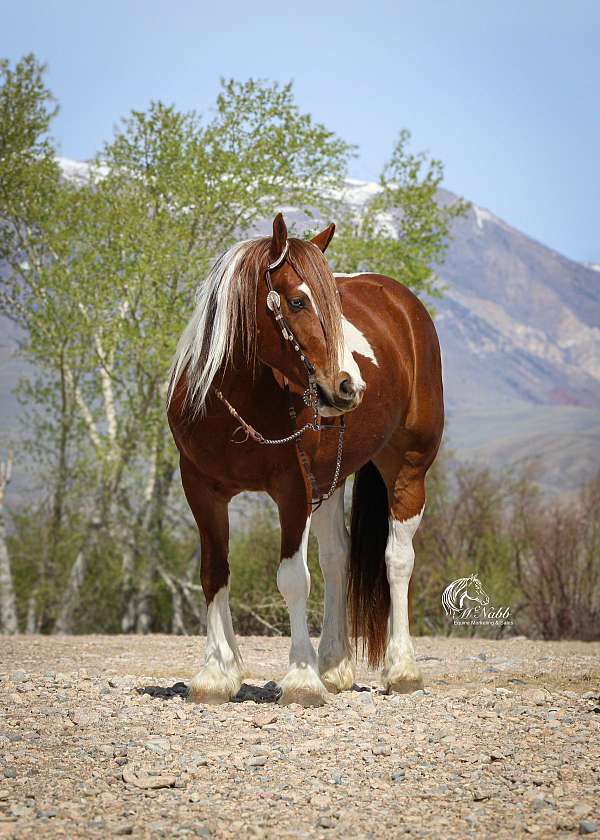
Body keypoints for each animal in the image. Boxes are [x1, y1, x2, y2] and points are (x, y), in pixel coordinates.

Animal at [167, 212, 444, 706]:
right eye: (297, 301)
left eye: (335, 304)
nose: (349, 387)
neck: (237, 401)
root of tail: (403, 304)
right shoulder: (201, 489)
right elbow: (214, 572)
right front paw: (217, 673)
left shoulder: (292, 492)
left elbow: (294, 578)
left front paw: (300, 678)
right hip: (331, 480)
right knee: (337, 557)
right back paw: (334, 665)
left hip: (408, 468)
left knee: (397, 559)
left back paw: (402, 669)